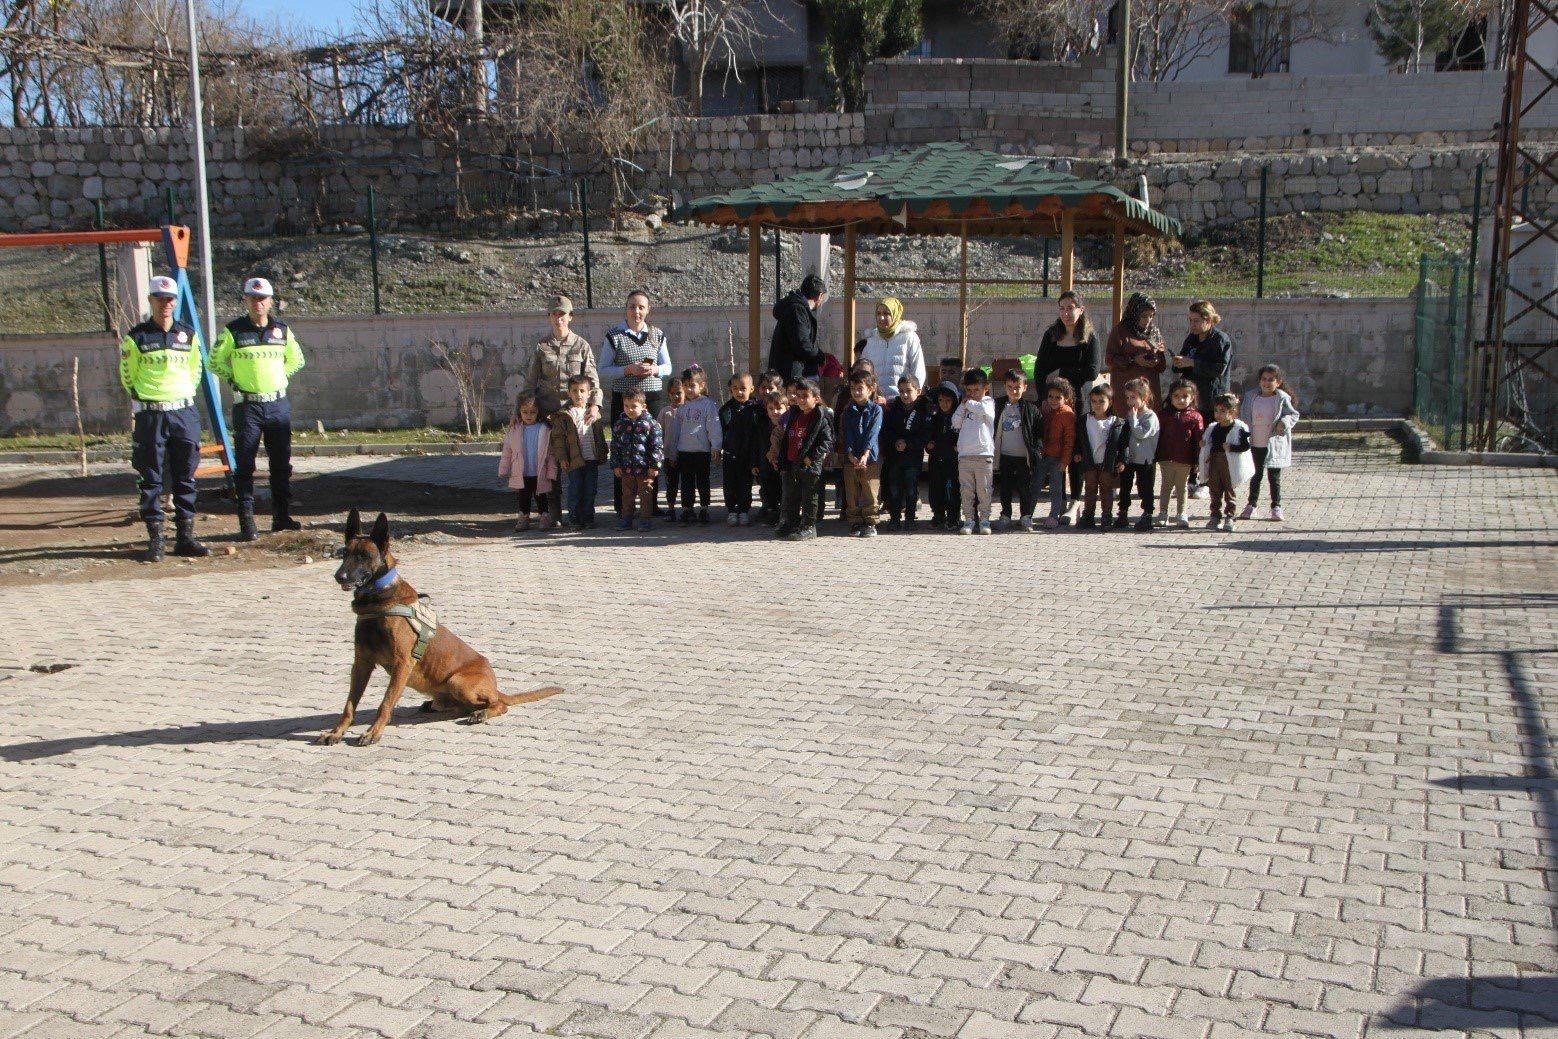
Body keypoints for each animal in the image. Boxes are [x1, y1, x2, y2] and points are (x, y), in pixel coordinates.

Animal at [319, 514, 563, 747]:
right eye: (345, 554)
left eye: (364, 556)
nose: (339, 576)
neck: (378, 601)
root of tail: (494, 686)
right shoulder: (361, 665)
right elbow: (349, 705)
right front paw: (336, 732)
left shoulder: (401, 664)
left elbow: (385, 703)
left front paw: (372, 733)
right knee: (460, 706)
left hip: (458, 682)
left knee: (498, 704)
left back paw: (482, 713)